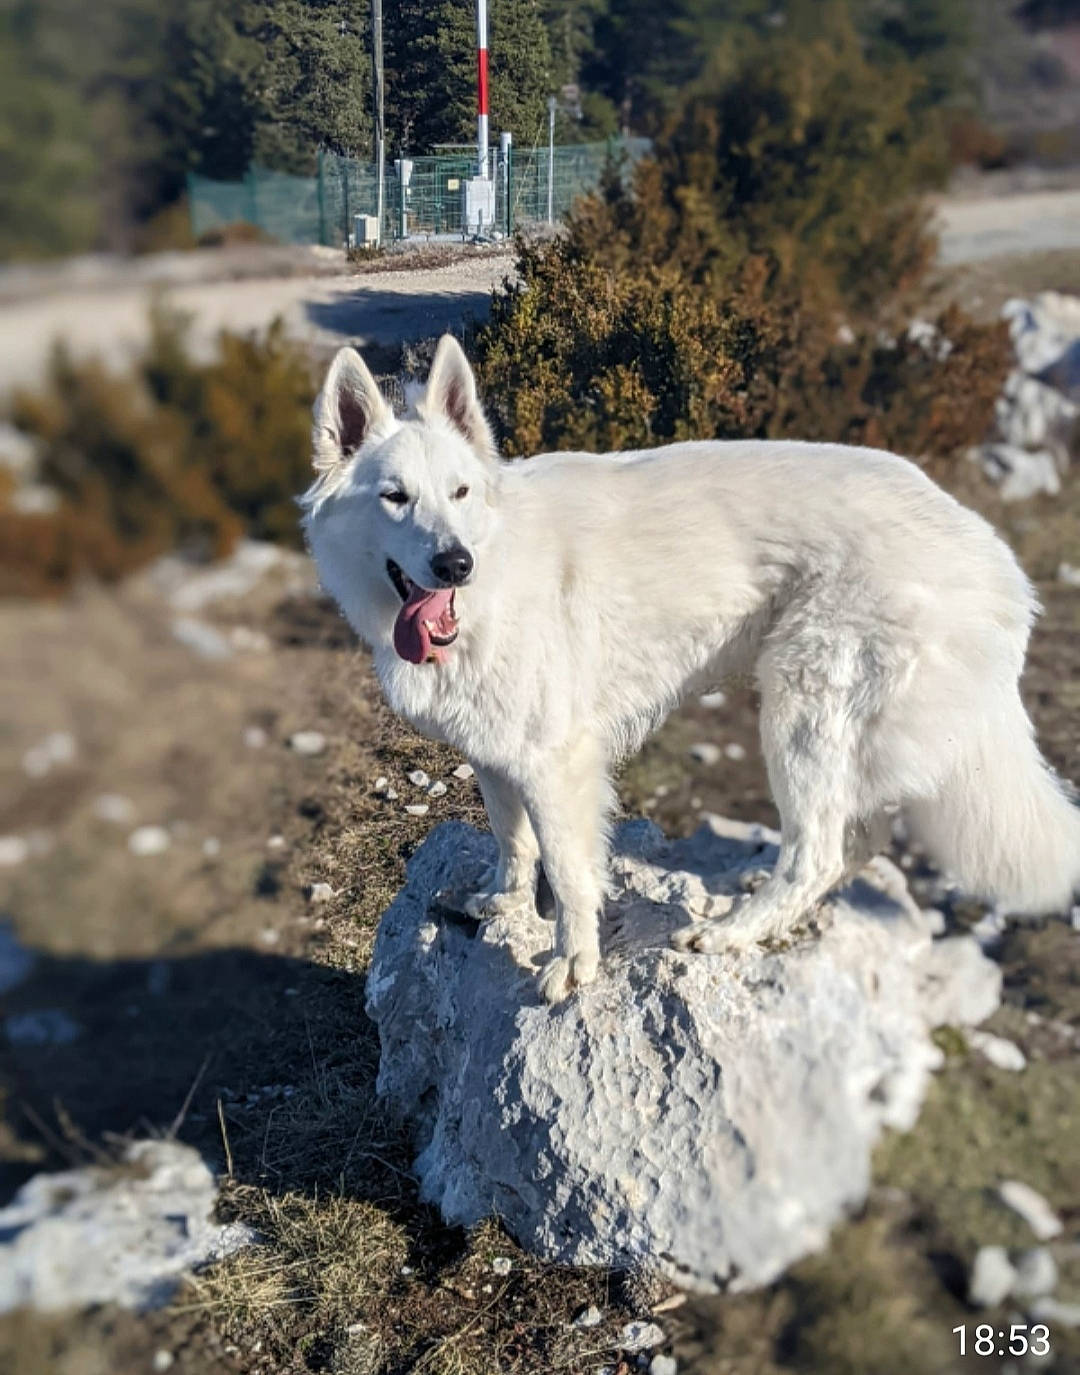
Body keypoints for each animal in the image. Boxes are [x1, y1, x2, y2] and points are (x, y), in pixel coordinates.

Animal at [302, 334, 1080, 1003]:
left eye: (461, 493)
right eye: (394, 496)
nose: (455, 562)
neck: (495, 577)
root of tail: (991, 554)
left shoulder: (558, 764)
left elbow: (571, 873)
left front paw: (573, 962)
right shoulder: (495, 754)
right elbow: (512, 842)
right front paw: (502, 901)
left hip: (800, 713)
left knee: (820, 851)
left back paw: (735, 929)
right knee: (853, 840)